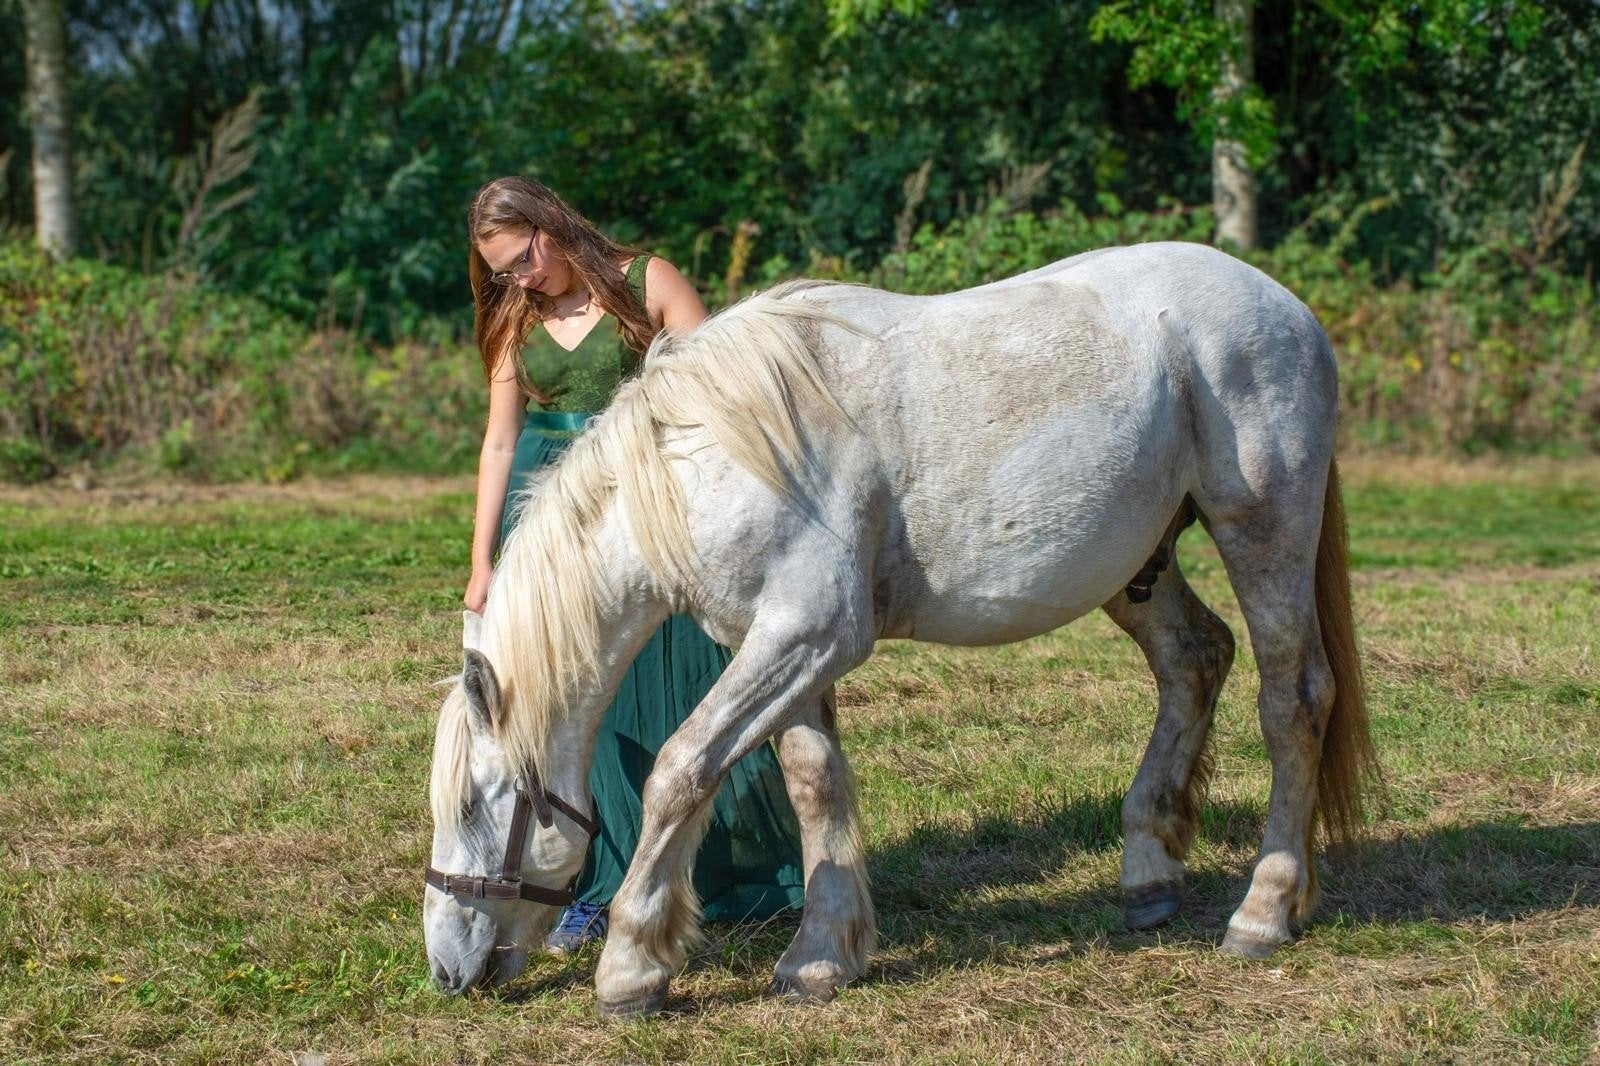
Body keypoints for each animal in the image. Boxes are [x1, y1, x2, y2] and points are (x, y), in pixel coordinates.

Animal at [421, 241, 1376, 1018]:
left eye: (473, 803)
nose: (443, 970)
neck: (709, 457)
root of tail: (1284, 305)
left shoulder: (808, 634)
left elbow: (681, 772)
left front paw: (631, 968)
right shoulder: (779, 647)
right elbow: (814, 783)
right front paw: (820, 956)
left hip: (1263, 531)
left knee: (1292, 700)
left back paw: (1263, 911)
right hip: (1137, 569)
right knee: (1194, 661)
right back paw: (1148, 873)